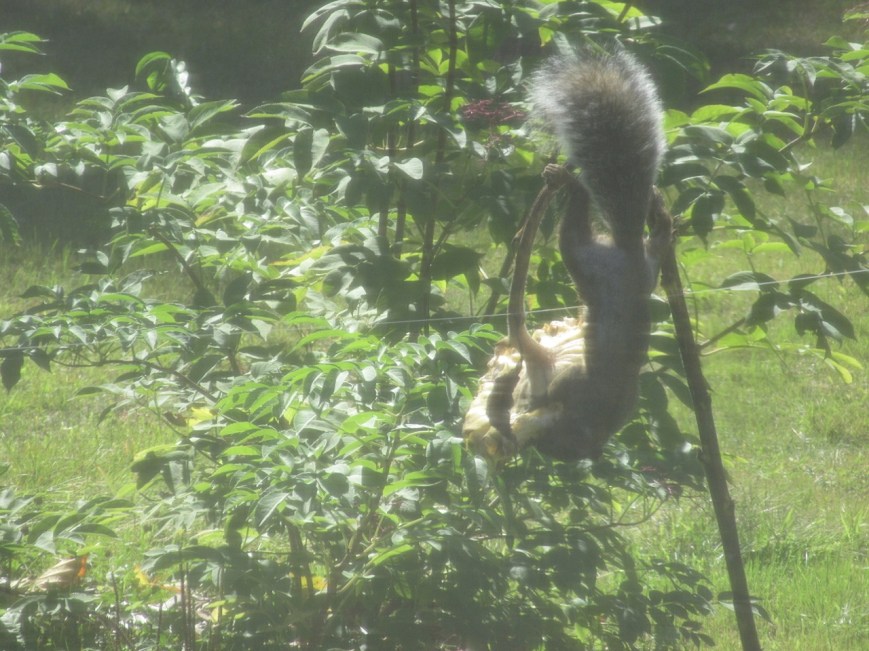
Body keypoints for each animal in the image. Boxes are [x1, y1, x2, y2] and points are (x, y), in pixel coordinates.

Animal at [483, 48, 672, 461]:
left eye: (562, 442)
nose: (549, 450)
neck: (600, 412)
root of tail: (629, 254)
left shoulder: (574, 384)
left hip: (582, 260)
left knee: (574, 225)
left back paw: (573, 184)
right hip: (626, 266)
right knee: (645, 240)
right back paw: (659, 220)